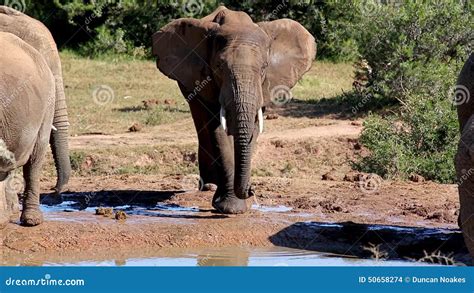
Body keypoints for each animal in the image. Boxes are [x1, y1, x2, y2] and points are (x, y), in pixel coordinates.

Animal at [152, 6, 314, 212]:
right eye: (219, 67)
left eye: (264, 67)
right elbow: (218, 129)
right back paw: (209, 185)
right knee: (200, 119)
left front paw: (239, 205)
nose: (251, 190)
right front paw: (230, 208)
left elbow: (253, 127)